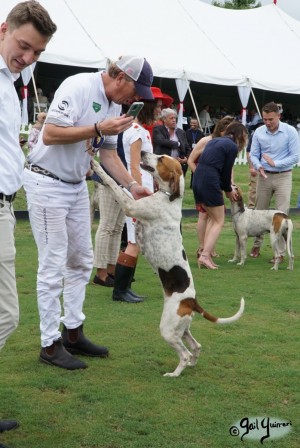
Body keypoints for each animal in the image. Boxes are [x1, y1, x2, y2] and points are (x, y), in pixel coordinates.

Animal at [92, 154, 245, 378]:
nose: (144, 153)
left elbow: (114, 184)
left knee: (185, 354)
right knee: (196, 346)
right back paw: (192, 364)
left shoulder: (131, 206)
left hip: (168, 329)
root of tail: (192, 301)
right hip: (182, 328)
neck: (169, 197)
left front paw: (97, 167)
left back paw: (175, 373)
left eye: (161, 158)